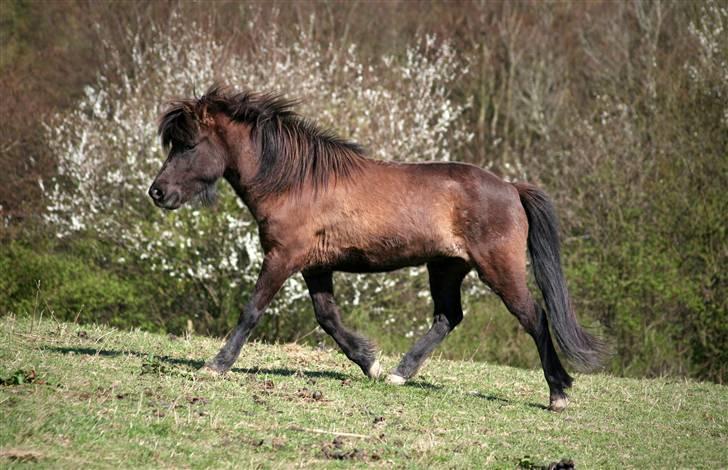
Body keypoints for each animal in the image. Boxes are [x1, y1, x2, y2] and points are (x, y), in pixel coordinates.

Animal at [146, 85, 604, 412]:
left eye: (189, 144)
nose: (158, 192)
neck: (296, 182)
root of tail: (510, 187)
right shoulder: (314, 266)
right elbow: (328, 318)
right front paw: (369, 362)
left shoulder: (283, 257)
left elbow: (252, 310)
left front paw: (217, 364)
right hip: (446, 267)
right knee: (447, 317)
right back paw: (401, 373)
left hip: (499, 269)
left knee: (535, 317)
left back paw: (558, 393)